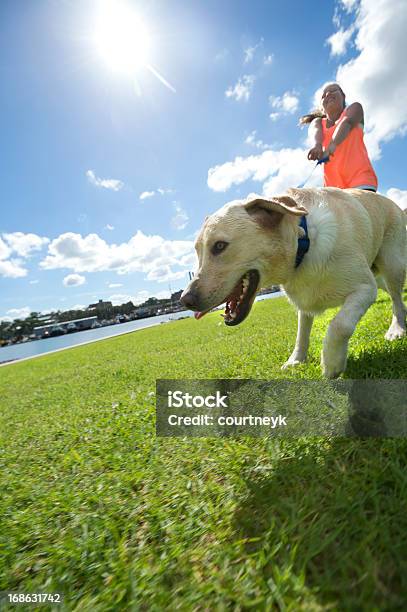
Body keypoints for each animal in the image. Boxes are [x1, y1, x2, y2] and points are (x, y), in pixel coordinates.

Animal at [182, 186, 407, 378]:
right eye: (198, 251)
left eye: (220, 246)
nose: (185, 300)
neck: (303, 245)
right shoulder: (304, 302)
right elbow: (302, 332)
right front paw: (296, 360)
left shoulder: (365, 289)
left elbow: (339, 325)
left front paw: (331, 363)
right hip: (378, 275)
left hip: (391, 265)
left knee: (396, 299)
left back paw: (396, 329)